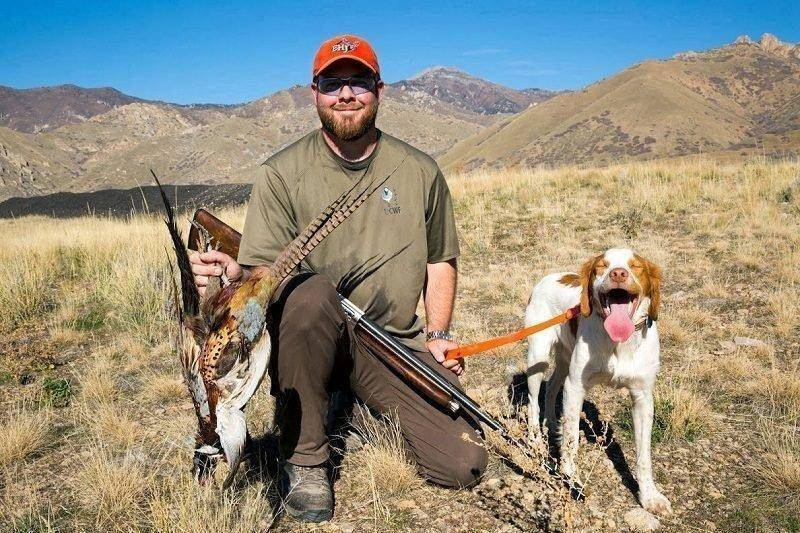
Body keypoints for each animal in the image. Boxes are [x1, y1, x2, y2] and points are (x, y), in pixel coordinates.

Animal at [524, 248, 668, 516]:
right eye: (603, 265)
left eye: (636, 266)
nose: (619, 273)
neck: (620, 342)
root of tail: (550, 276)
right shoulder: (576, 386)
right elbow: (572, 441)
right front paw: (570, 478)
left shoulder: (643, 397)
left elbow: (644, 455)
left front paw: (649, 496)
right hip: (537, 356)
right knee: (533, 401)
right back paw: (535, 440)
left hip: (564, 359)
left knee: (551, 388)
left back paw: (553, 426)